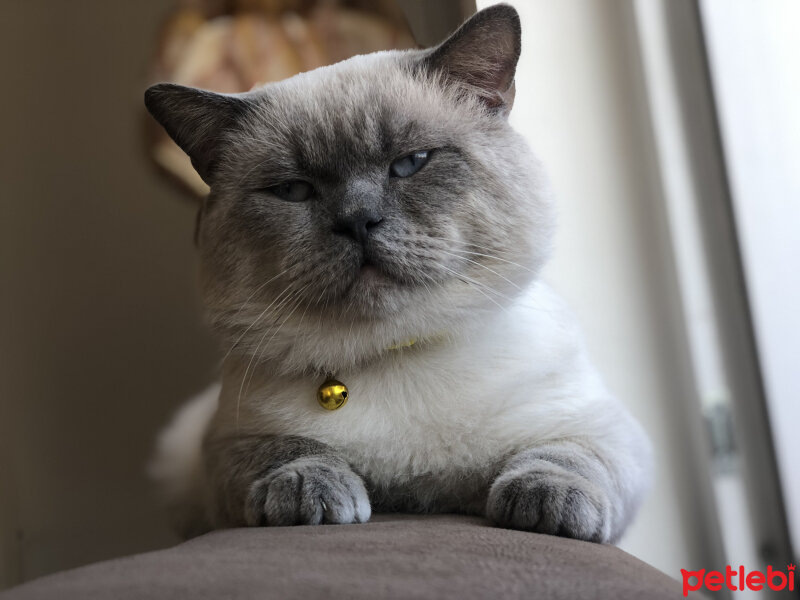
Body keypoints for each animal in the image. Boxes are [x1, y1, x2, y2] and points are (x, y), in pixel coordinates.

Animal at [145, 2, 648, 540]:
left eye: (410, 163)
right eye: (294, 191)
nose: (357, 220)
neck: (396, 352)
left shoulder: (598, 426)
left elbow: (564, 455)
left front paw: (543, 506)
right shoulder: (228, 446)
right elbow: (289, 451)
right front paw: (312, 497)